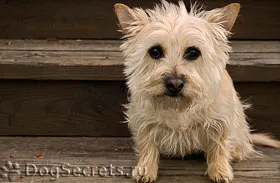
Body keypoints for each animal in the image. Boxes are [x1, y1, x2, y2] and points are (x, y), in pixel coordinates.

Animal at [114, 0, 280, 182]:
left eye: (193, 52)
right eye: (155, 51)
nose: (174, 84)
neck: (179, 108)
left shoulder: (221, 121)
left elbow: (219, 146)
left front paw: (220, 170)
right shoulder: (142, 119)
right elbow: (147, 145)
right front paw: (145, 169)